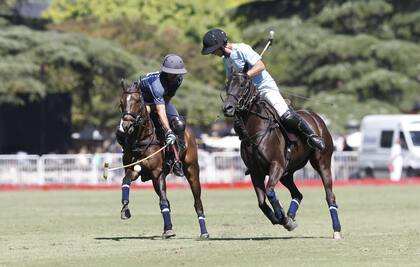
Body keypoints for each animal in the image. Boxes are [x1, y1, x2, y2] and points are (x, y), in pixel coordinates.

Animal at [118, 80, 210, 240]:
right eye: (121, 103)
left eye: (137, 101)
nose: (126, 125)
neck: (141, 138)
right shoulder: (133, 169)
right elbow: (125, 182)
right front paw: (125, 209)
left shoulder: (157, 173)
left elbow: (163, 200)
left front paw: (168, 230)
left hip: (192, 169)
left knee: (197, 201)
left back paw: (204, 232)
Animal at [223, 71, 342, 241]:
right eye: (227, 85)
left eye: (242, 85)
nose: (228, 108)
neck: (255, 130)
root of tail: (316, 117)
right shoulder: (255, 172)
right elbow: (261, 202)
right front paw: (282, 219)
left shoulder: (276, 165)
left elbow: (269, 192)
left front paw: (282, 216)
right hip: (287, 173)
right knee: (298, 194)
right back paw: (290, 216)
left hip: (322, 163)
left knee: (330, 196)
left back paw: (336, 230)